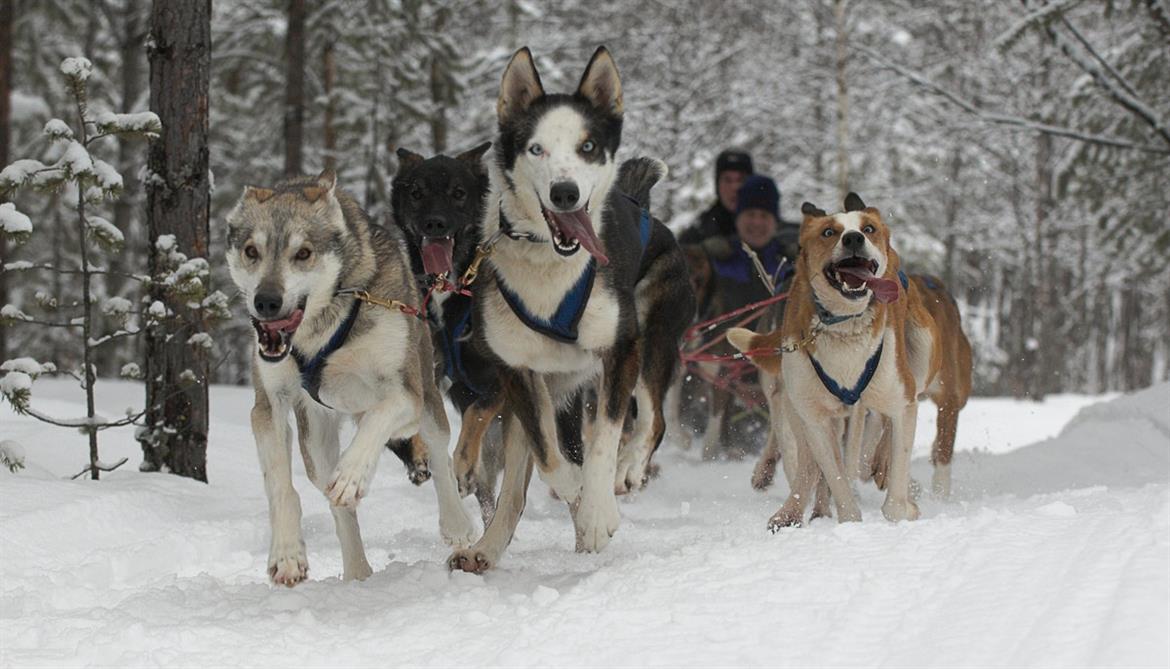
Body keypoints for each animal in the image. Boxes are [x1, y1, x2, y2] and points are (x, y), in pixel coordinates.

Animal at [225, 170, 472, 584]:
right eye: (251, 251)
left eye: (303, 253)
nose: (266, 301)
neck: (323, 329)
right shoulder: (268, 405)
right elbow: (281, 487)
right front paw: (287, 554)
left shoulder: (405, 393)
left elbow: (377, 420)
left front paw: (353, 473)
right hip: (315, 443)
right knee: (337, 505)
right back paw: (357, 570)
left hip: (426, 398)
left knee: (439, 455)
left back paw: (457, 524)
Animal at [442, 44, 687, 573]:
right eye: (536, 149)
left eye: (588, 147)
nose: (565, 192)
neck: (550, 270)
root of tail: (640, 204)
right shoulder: (517, 373)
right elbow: (550, 458)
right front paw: (576, 493)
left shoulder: (620, 350)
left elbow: (603, 443)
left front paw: (596, 512)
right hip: (544, 392)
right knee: (515, 491)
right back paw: (486, 549)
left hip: (650, 341)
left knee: (652, 421)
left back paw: (627, 472)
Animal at [725, 191, 973, 528]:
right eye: (828, 232)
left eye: (868, 229)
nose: (854, 237)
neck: (845, 327)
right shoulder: (814, 417)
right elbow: (834, 480)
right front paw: (847, 521)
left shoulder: (900, 402)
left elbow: (893, 494)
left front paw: (904, 506)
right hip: (798, 404)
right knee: (810, 461)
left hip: (922, 359)